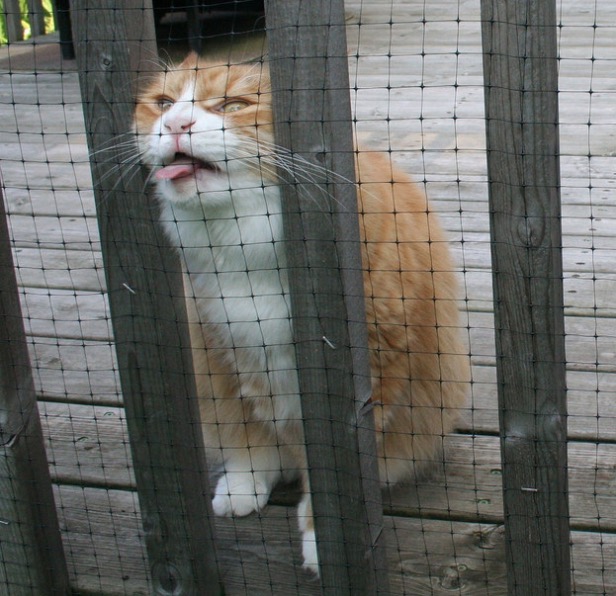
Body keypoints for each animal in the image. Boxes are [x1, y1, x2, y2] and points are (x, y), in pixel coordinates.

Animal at [135, 54, 470, 572]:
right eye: (164, 103)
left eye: (233, 105)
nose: (175, 125)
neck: (240, 241)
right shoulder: (233, 350)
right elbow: (253, 437)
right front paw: (244, 486)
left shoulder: (368, 374)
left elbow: (326, 474)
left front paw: (321, 541)